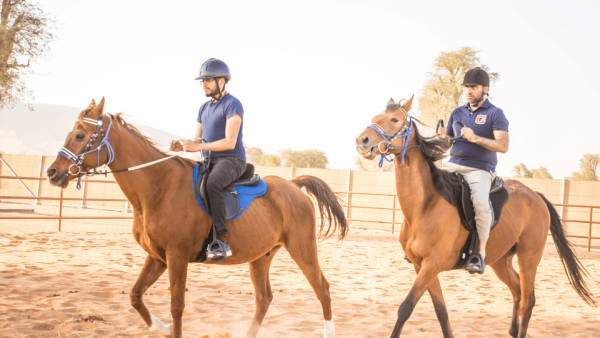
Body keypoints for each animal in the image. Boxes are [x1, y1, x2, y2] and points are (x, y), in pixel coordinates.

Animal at [47, 97, 346, 338]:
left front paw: (171, 327)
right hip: (261, 256)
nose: (52, 172)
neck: (159, 187)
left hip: (302, 249)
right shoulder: (158, 257)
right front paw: (162, 328)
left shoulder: (177, 257)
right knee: (264, 298)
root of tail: (293, 185)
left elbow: (177, 305)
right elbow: (135, 296)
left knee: (322, 288)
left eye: (80, 135)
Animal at [356, 95, 596, 338]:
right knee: (518, 291)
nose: (362, 140)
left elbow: (406, 307)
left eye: (395, 119)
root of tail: (536, 196)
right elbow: (441, 311)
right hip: (501, 261)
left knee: (527, 301)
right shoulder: (421, 265)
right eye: (376, 117)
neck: (425, 205)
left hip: (529, 258)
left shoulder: (432, 264)